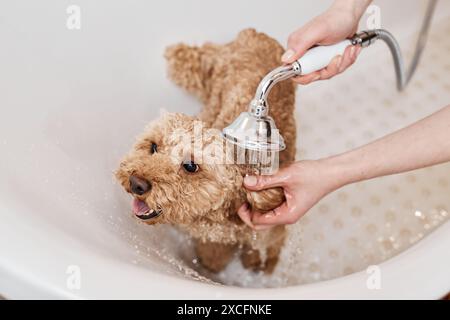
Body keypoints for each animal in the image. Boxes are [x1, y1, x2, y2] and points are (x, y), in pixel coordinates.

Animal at [115, 29, 296, 272]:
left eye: (191, 166)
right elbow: (214, 258)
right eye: (153, 146)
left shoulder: (270, 232)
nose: (137, 183)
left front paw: (258, 265)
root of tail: (256, 34)